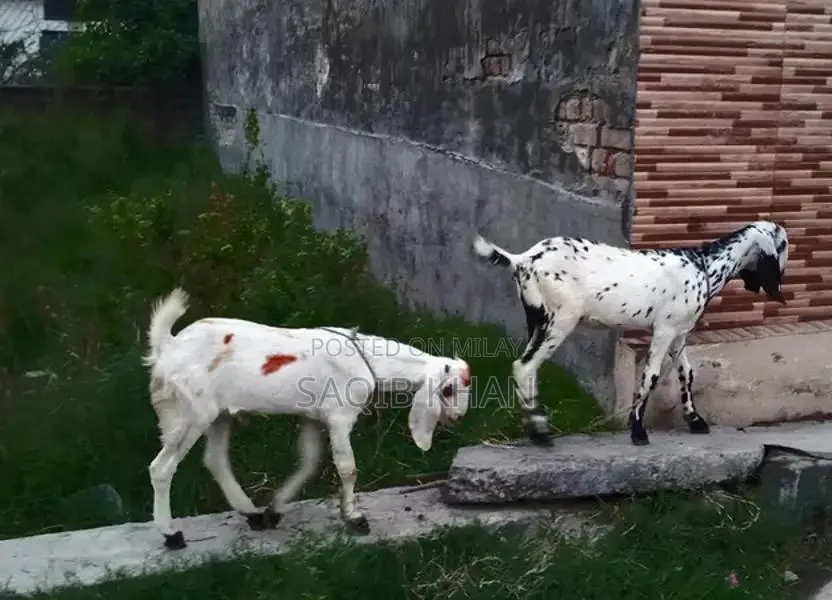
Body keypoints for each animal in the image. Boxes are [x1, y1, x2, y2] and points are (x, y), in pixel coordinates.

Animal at [143, 288, 471, 550]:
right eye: (448, 389)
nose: (458, 416)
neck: (369, 361)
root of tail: (168, 347)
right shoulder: (339, 416)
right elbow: (347, 467)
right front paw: (356, 519)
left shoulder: (312, 417)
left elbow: (310, 461)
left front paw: (274, 510)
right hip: (190, 412)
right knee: (162, 468)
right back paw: (171, 535)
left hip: (218, 415)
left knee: (215, 460)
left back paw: (252, 514)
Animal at [472, 220, 789, 446]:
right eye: (783, 245)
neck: (704, 267)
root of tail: (522, 260)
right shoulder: (664, 330)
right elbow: (650, 375)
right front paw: (637, 430)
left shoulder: (679, 333)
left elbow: (686, 373)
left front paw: (695, 419)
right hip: (559, 320)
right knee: (525, 366)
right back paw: (540, 431)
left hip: (536, 319)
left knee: (530, 367)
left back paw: (532, 423)